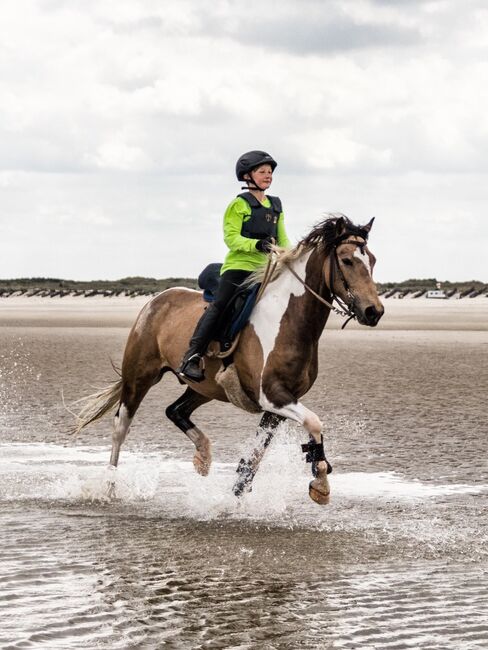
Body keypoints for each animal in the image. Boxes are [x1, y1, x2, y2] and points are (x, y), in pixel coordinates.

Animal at [72, 215, 386, 504]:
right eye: (346, 260)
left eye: (371, 260)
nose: (374, 311)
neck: (289, 320)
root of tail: (155, 300)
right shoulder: (272, 396)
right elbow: (315, 422)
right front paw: (320, 482)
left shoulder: (279, 405)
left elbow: (256, 456)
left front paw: (235, 498)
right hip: (139, 377)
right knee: (120, 428)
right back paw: (110, 488)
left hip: (204, 387)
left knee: (175, 410)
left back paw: (203, 456)